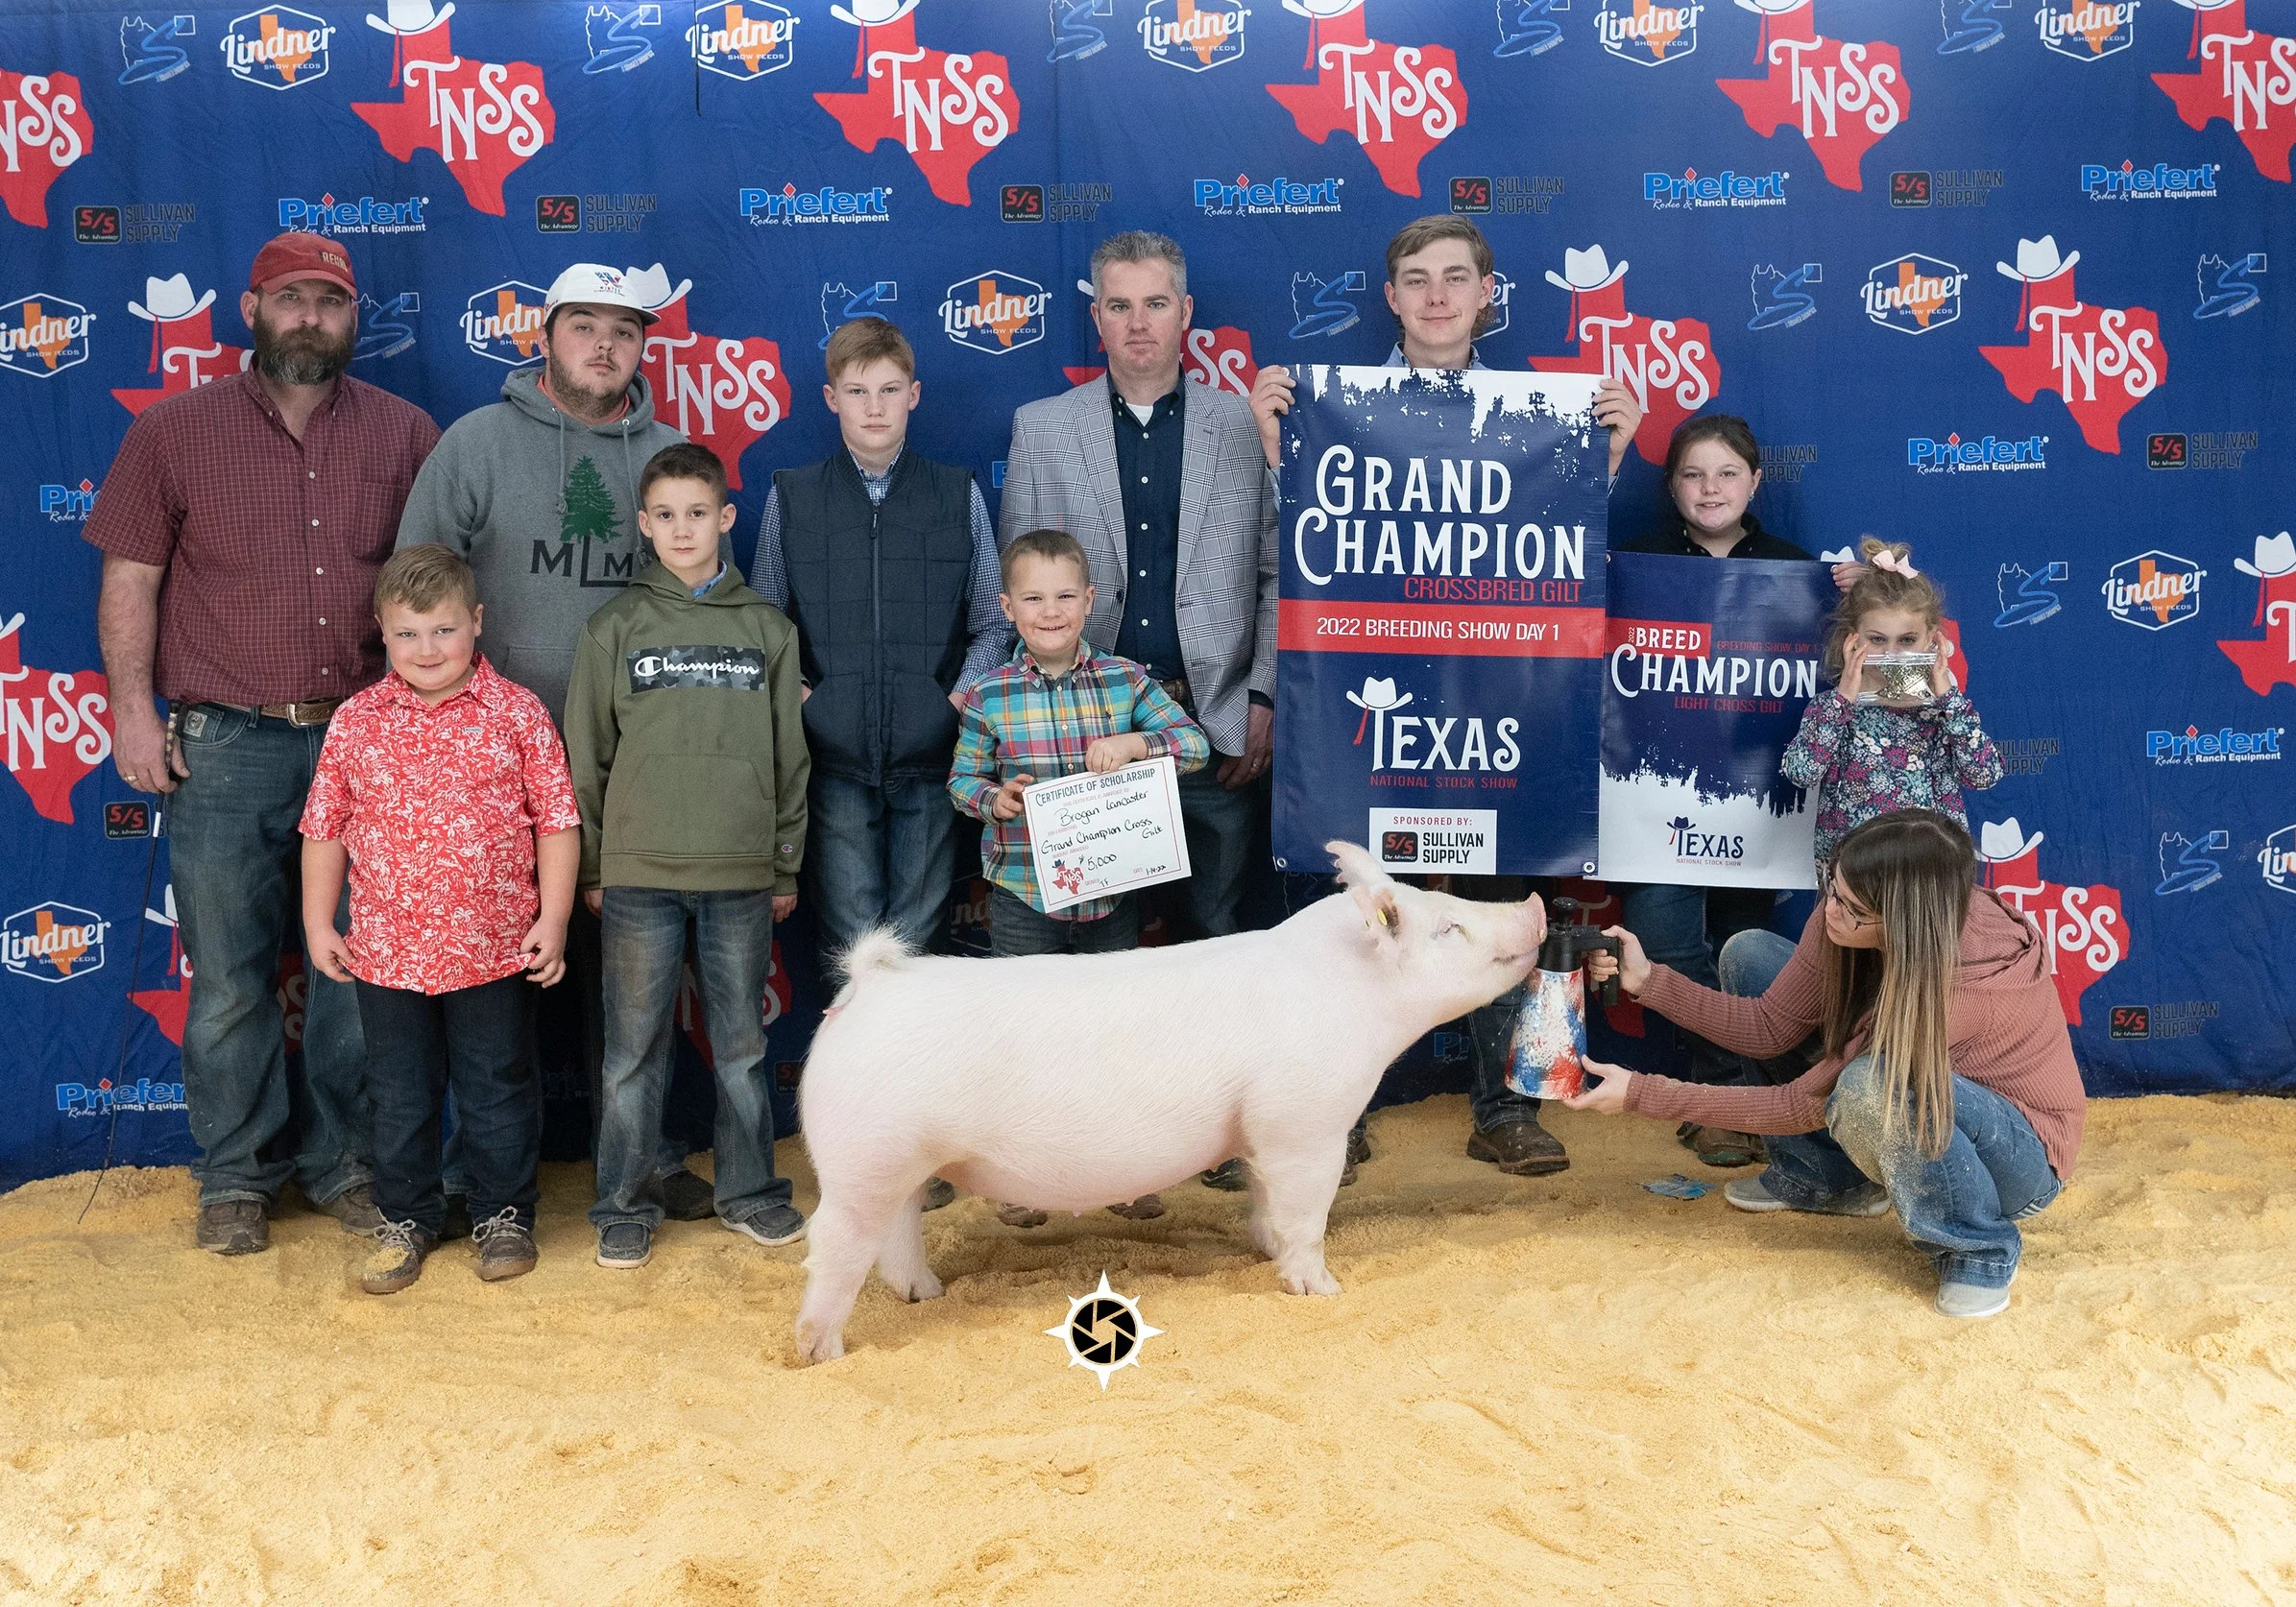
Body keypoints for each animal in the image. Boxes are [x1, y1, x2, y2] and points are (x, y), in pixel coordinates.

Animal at [792, 841, 1547, 1364]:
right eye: (1446, 928)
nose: (1534, 904)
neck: (1353, 999)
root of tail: (866, 986)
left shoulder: (1260, 1132)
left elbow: (1265, 1201)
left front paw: (1263, 1250)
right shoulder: (1304, 1122)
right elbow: (1306, 1212)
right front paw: (1323, 1290)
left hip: (898, 1163)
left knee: (896, 1234)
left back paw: (927, 1293)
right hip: (866, 1157)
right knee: (833, 1242)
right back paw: (819, 1351)